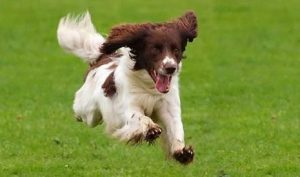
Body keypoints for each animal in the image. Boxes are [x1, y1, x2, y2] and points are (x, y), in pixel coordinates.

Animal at [56, 10, 197, 164]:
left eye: (176, 49)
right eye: (155, 49)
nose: (170, 68)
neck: (150, 88)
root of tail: (102, 58)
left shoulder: (170, 108)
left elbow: (176, 128)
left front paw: (182, 152)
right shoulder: (128, 106)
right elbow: (139, 117)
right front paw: (151, 130)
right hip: (88, 111)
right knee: (81, 111)